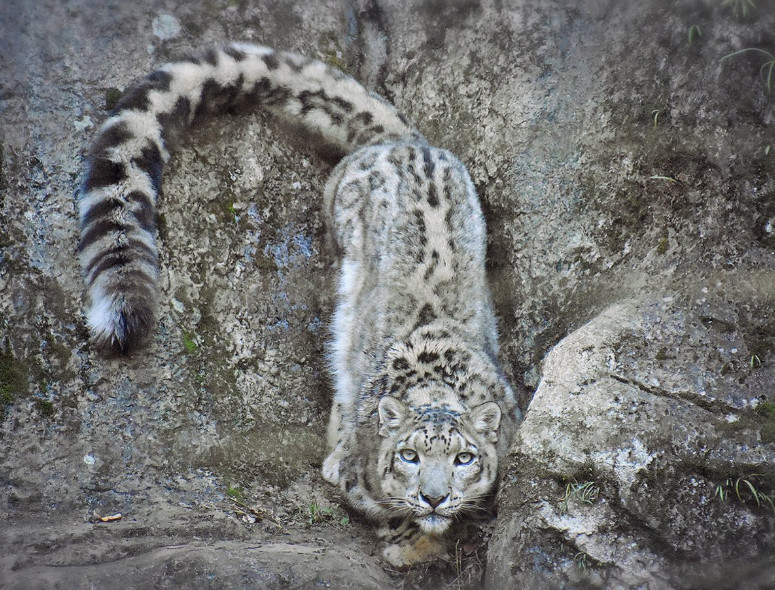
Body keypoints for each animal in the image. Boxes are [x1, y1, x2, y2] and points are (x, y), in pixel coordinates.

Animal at [77, 42, 520, 568]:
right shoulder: (365, 479)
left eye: (463, 458)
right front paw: (410, 542)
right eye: (410, 456)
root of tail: (404, 142)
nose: (435, 496)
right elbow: (382, 504)